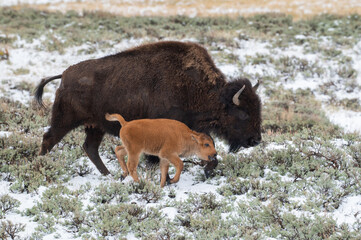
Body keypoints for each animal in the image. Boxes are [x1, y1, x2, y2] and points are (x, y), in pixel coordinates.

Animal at [35, 40, 260, 176]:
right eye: (243, 113)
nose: (256, 140)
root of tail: (64, 75)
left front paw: (208, 169)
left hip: (95, 126)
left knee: (90, 148)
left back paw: (109, 174)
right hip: (65, 120)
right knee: (49, 139)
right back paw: (41, 166)